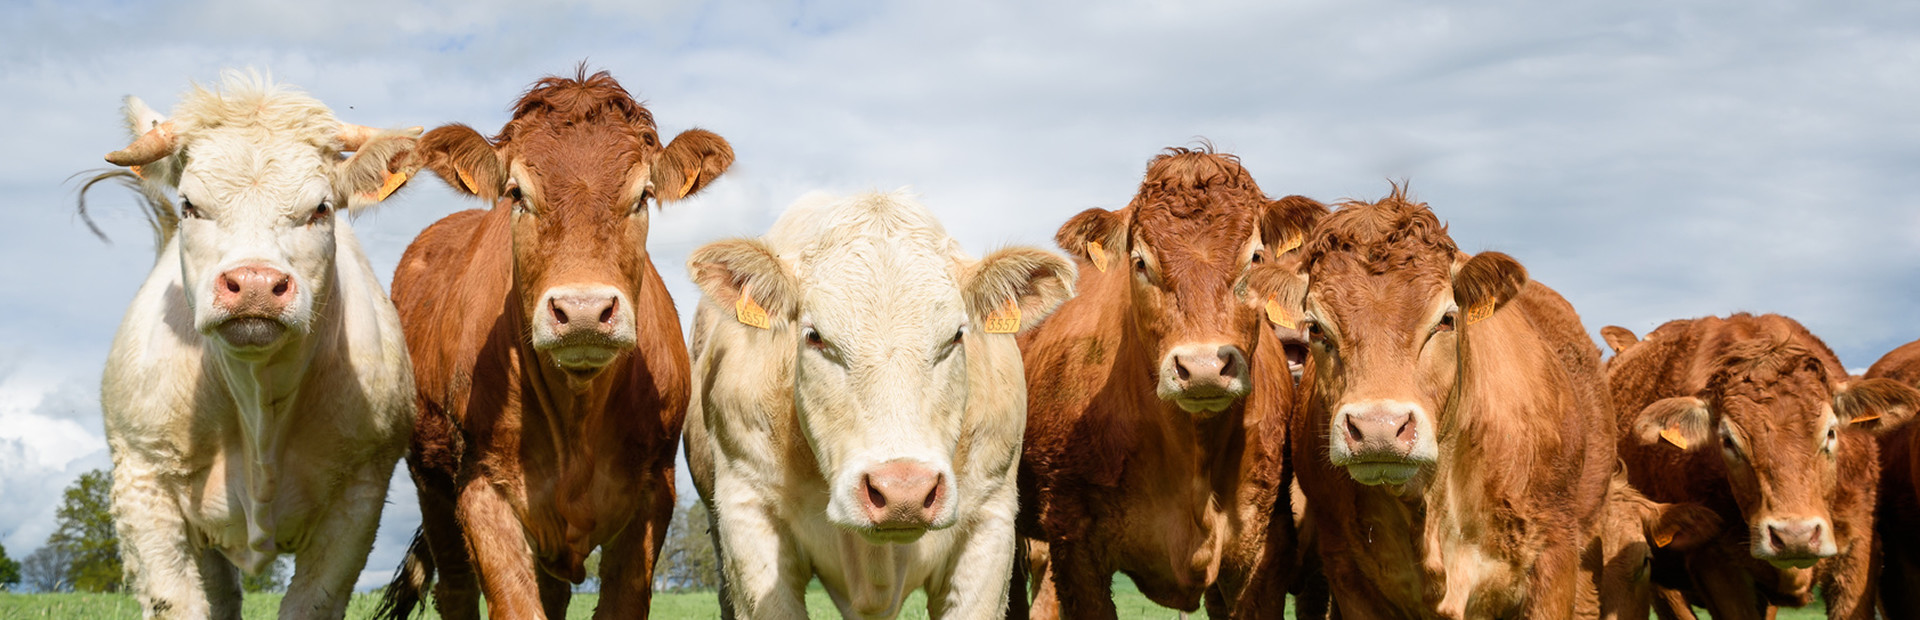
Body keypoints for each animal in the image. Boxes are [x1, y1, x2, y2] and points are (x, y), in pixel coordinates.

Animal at [85, 71, 421, 619]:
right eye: (189, 206)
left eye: (321, 209)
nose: (256, 284)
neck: (259, 402)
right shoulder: (143, 482)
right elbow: (178, 604)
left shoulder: (359, 496)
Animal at [373, 69, 733, 619]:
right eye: (517, 193)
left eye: (643, 196)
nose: (583, 310)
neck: (577, 416)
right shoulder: (481, 490)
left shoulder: (655, 493)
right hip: (430, 480)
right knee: (455, 588)